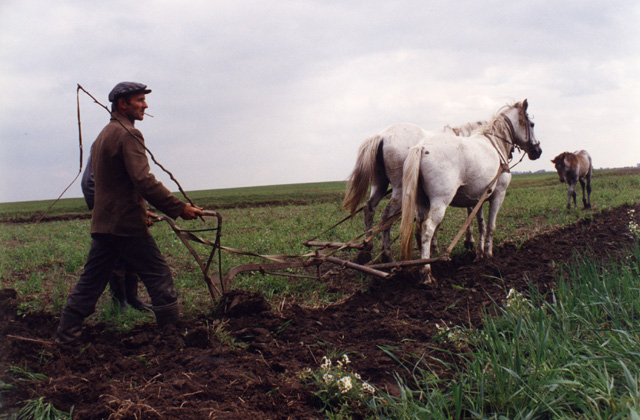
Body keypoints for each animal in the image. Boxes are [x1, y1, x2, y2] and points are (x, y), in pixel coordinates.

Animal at [344, 120, 484, 262]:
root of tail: (382, 135)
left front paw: (432, 247)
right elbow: (470, 210)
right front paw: (468, 242)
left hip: (379, 184)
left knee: (369, 208)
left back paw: (367, 248)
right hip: (400, 190)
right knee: (386, 216)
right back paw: (387, 255)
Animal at [400, 100, 540, 284]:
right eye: (532, 124)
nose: (538, 151)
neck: (496, 145)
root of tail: (422, 147)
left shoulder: (477, 199)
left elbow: (481, 225)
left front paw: (479, 255)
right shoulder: (498, 195)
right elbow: (491, 226)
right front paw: (488, 254)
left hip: (421, 203)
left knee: (418, 229)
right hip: (439, 203)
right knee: (427, 229)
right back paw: (426, 273)